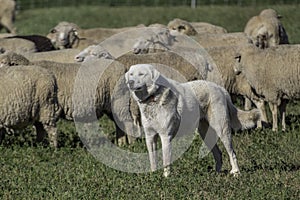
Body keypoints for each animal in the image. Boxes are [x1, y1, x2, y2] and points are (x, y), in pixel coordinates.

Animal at [125, 63, 258, 177]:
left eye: (141, 74)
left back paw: (236, 172)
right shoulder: (150, 137)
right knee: (218, 154)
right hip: (205, 134)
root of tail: (221, 89)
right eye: (131, 74)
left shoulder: (165, 137)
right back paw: (216, 174)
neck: (153, 98)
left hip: (222, 130)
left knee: (232, 153)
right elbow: (153, 161)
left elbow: (166, 162)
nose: (130, 82)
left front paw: (166, 178)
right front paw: (153, 176)